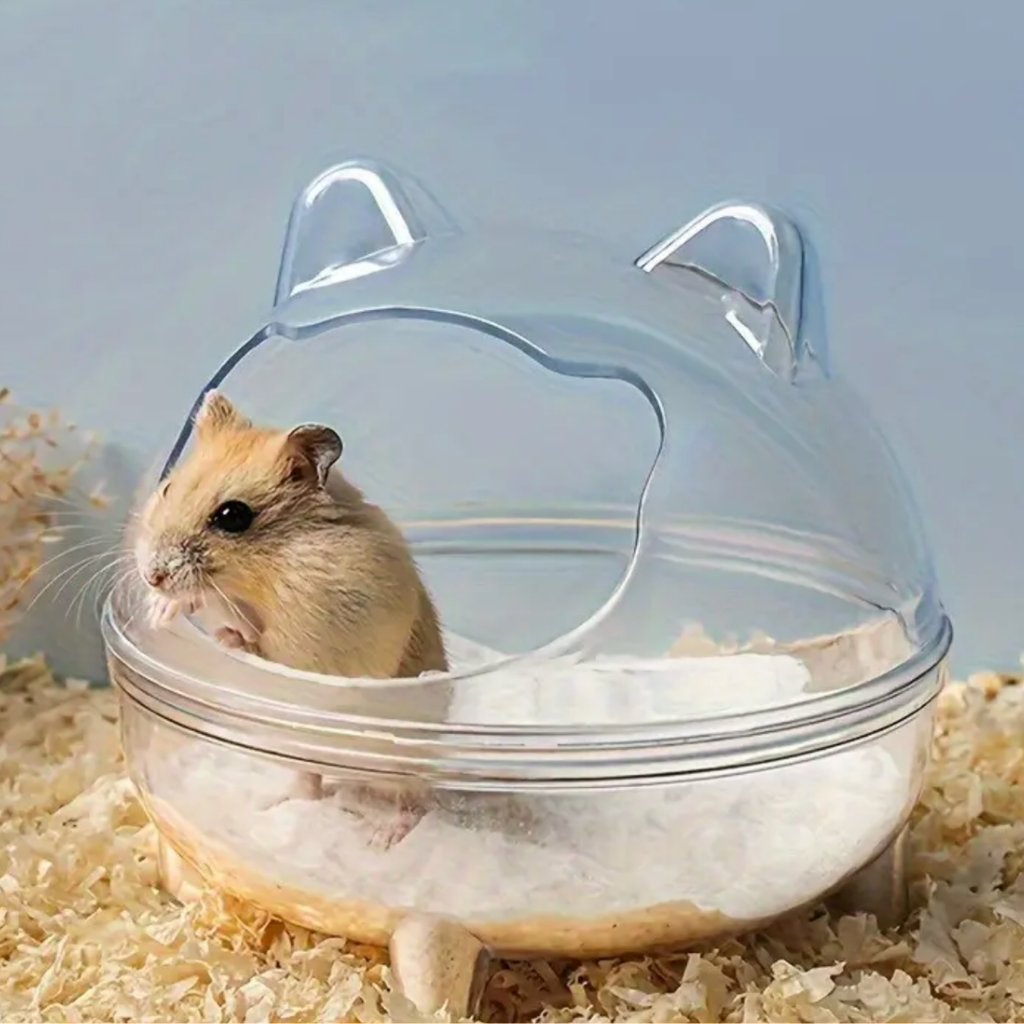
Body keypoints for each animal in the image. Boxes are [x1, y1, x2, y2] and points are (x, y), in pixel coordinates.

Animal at [133, 389, 448, 846]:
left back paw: (381, 837)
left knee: (411, 802)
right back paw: (272, 804)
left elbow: (252, 635)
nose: (151, 576)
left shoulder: (312, 640)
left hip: (398, 764)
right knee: (310, 784)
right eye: (168, 488)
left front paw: (224, 633)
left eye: (232, 516)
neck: (267, 569)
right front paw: (160, 610)